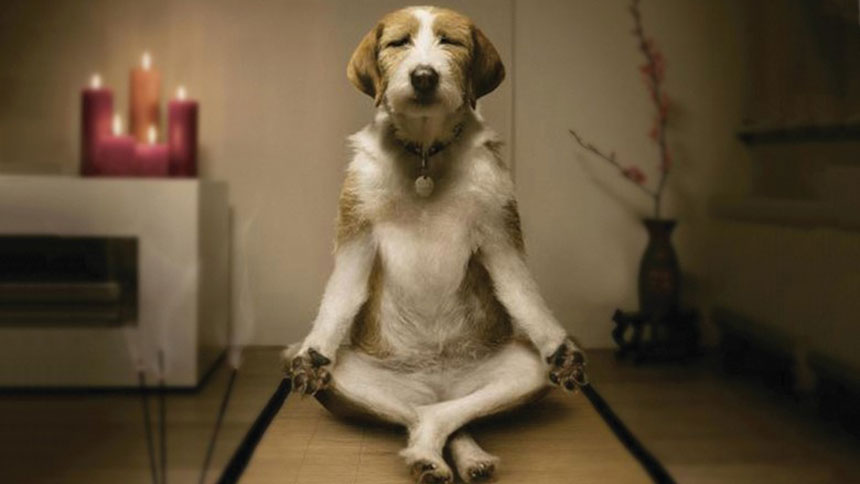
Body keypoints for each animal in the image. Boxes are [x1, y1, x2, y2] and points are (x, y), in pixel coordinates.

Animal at [286, 4, 588, 484]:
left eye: (451, 42)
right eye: (398, 43)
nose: (424, 76)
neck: (425, 151)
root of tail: (435, 385)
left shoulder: (499, 227)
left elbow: (521, 288)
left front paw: (559, 349)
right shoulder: (357, 228)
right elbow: (340, 295)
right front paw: (313, 355)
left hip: (519, 373)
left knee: (449, 414)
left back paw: (456, 456)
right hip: (353, 377)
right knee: (417, 413)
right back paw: (429, 455)